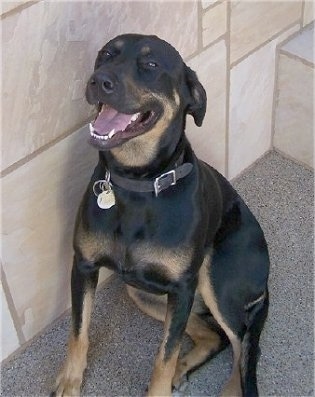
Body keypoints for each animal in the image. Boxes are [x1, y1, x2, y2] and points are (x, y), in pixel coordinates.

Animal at [53, 34, 270, 396]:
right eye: (105, 54)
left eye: (151, 64)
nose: (99, 81)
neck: (137, 182)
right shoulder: (83, 266)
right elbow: (77, 333)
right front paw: (70, 382)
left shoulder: (181, 288)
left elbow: (164, 356)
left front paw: (161, 385)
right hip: (142, 291)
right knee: (215, 336)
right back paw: (184, 369)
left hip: (216, 281)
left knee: (241, 344)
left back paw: (227, 387)